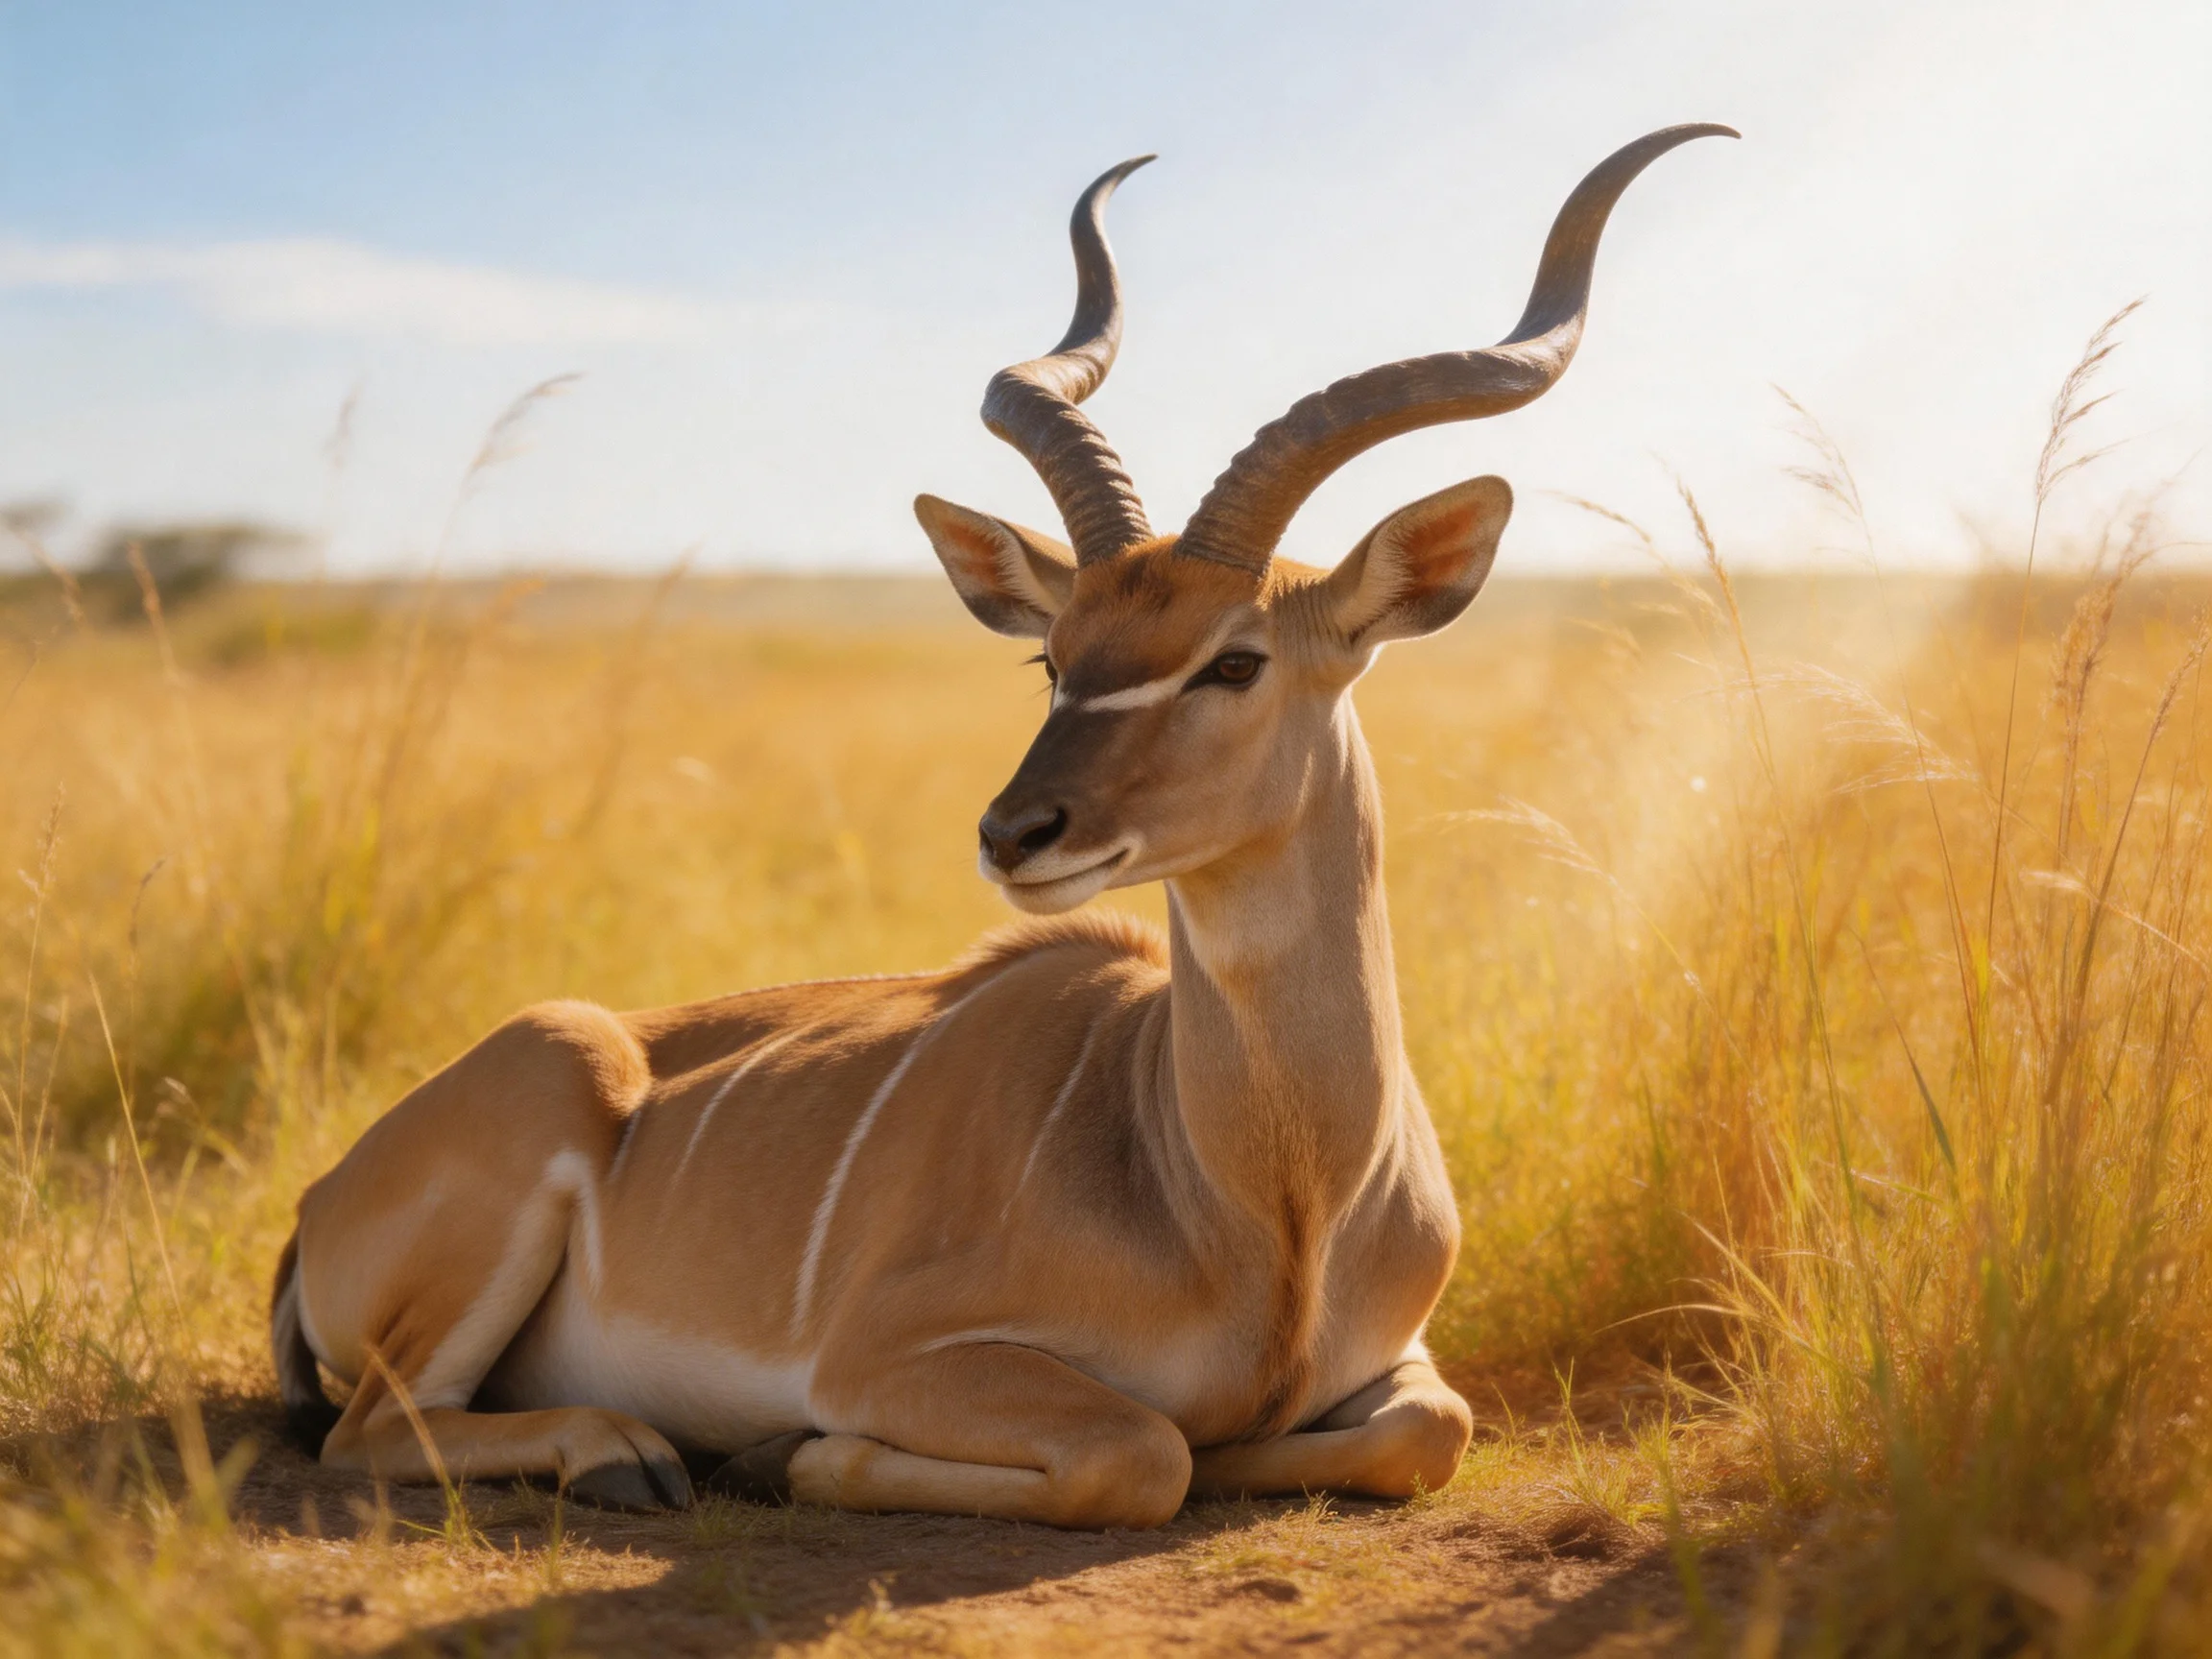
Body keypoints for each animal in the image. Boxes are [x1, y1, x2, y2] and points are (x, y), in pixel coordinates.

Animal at [272, 124, 1732, 1527]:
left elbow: (1421, 1431)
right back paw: (632, 1454)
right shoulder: (890, 1357)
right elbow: (1145, 1451)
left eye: (1235, 660)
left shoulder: (1404, 1369)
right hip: (514, 1159)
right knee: (369, 1434)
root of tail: (317, 1199)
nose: (1018, 833)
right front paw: (796, 1457)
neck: (1266, 1204)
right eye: (1054, 658)